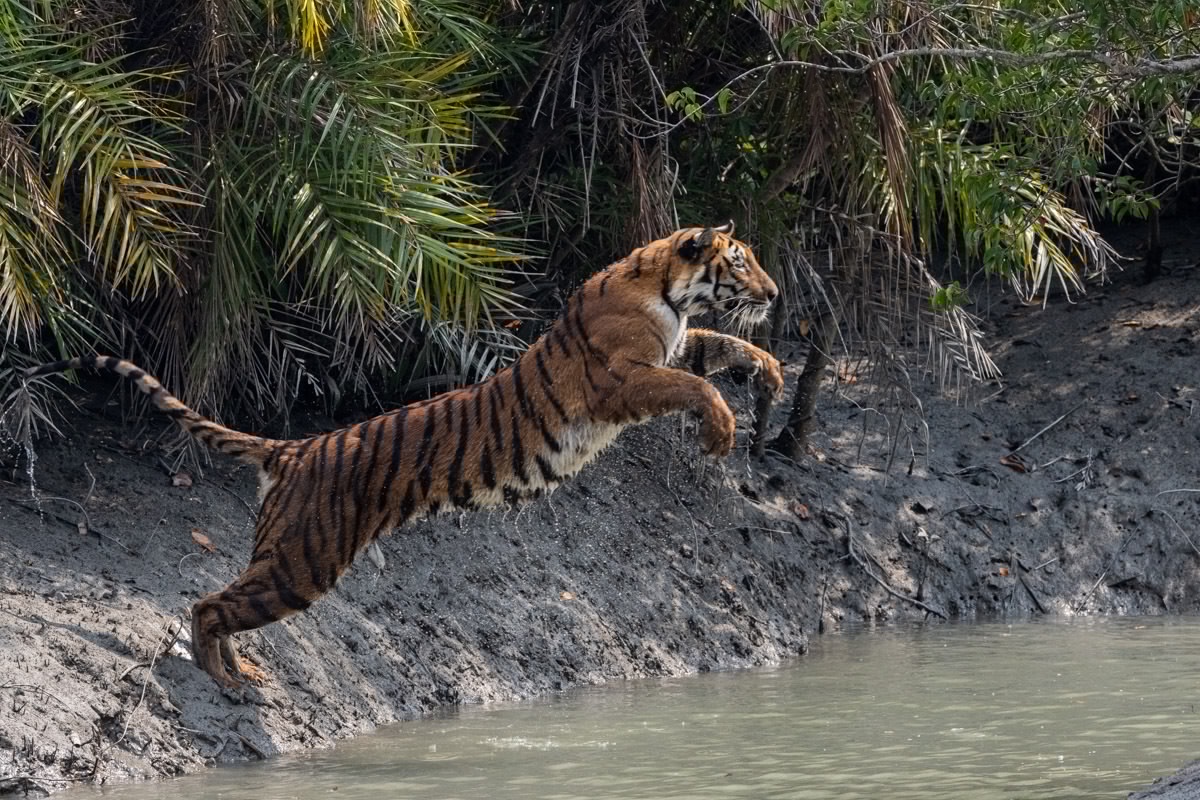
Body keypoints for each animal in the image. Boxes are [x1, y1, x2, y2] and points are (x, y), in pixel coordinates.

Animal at [25, 224, 787, 690]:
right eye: (741, 261)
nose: (777, 293)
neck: (663, 286)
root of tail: (294, 446)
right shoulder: (621, 379)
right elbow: (693, 384)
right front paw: (723, 429)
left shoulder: (670, 349)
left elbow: (717, 347)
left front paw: (770, 369)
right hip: (304, 561)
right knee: (209, 603)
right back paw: (228, 680)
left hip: (285, 554)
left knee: (220, 599)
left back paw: (244, 673)